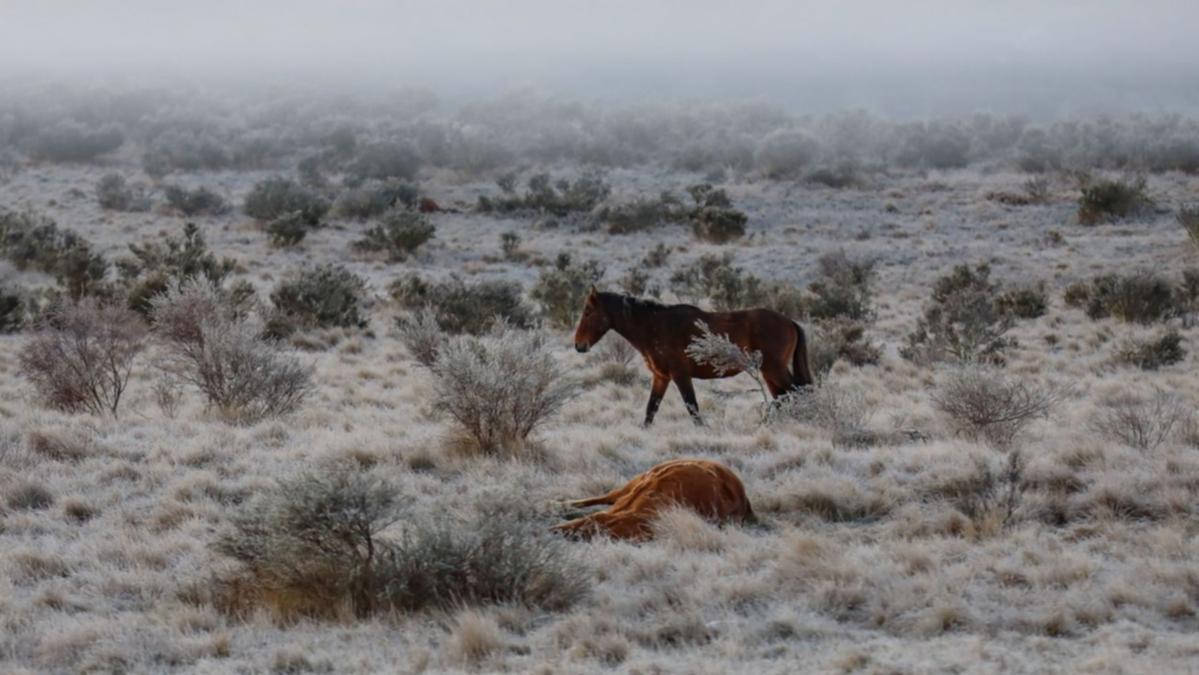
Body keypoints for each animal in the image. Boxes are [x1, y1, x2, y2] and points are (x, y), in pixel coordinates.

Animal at [573, 286, 815, 424]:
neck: (655, 326)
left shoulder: (681, 376)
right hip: (769, 373)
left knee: (798, 393)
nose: (578, 345)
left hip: (774, 369)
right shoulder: (661, 377)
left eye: (588, 311)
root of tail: (789, 322)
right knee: (783, 397)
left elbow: (693, 409)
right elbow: (651, 410)